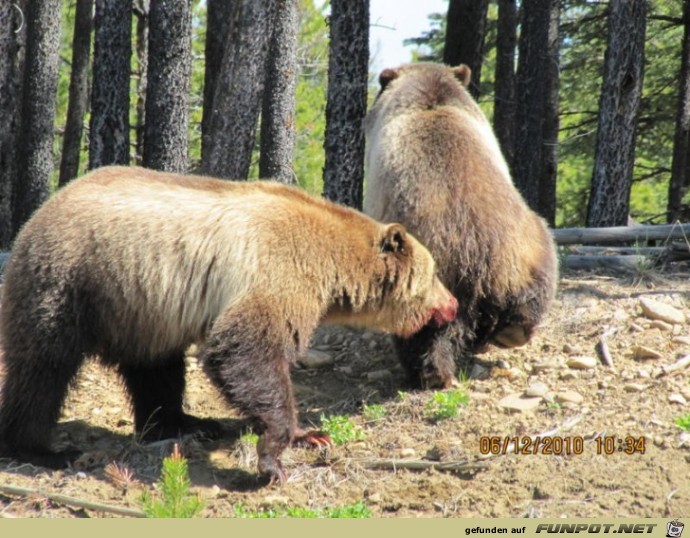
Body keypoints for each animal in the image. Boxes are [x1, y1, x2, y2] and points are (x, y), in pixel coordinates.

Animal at [0, 164, 456, 482]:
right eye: (435, 273)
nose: (452, 305)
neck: (332, 263)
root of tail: (39, 213)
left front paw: (302, 436)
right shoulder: (277, 272)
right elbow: (245, 349)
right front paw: (282, 451)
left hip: (143, 309)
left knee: (156, 369)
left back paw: (189, 423)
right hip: (71, 280)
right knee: (43, 368)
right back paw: (41, 448)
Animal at [362, 62, 556, 388]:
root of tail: (479, 253)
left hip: (429, 273)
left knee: (424, 331)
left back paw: (431, 373)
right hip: (531, 246)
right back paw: (510, 332)